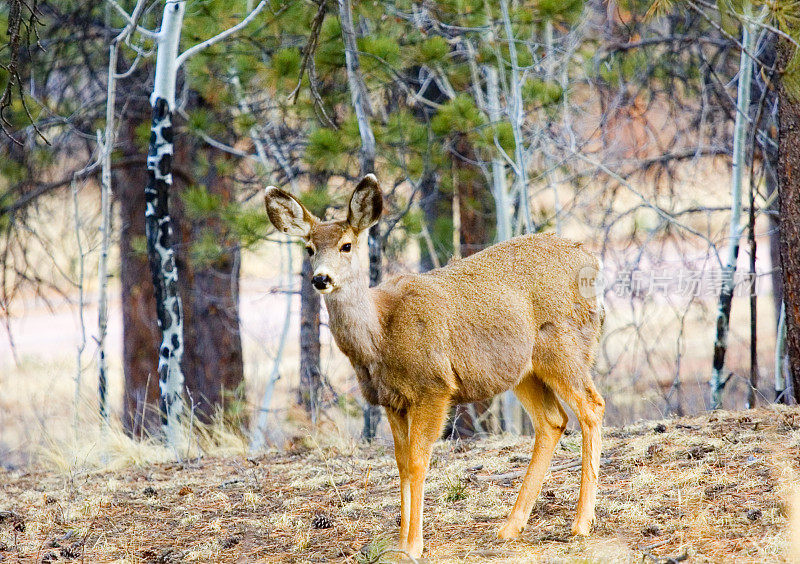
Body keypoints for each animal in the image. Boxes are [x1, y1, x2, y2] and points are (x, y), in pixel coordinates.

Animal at [266, 177, 604, 560]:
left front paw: (413, 546)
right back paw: (510, 528)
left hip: (565, 346)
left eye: (346, 245)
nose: (321, 279)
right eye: (309, 248)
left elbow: (417, 462)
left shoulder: (434, 387)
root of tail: (591, 259)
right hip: (522, 370)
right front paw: (399, 544)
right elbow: (401, 464)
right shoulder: (391, 400)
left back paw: (581, 523)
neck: (380, 335)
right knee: (552, 421)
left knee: (592, 407)